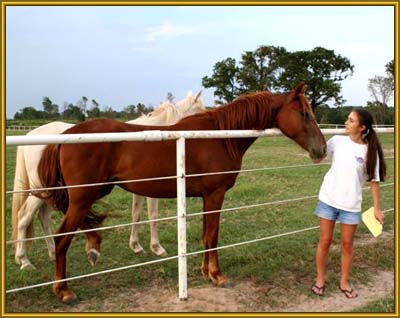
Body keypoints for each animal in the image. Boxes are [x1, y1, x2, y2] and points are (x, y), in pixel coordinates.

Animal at [11, 90, 206, 270]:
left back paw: (52, 252)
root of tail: (32, 135)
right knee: (24, 216)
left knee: (43, 217)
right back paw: (24, 260)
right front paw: (157, 247)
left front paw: (136, 246)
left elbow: (136, 213)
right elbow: (153, 215)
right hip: (43, 189)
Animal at [36, 83, 324, 304]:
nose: (320, 149)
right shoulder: (215, 194)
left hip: (88, 195)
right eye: (304, 113)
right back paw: (64, 290)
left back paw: (92, 248)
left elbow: (207, 235)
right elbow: (213, 235)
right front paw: (218, 275)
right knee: (61, 238)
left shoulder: (207, 197)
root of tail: (67, 134)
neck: (220, 137)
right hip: (84, 197)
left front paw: (206, 271)